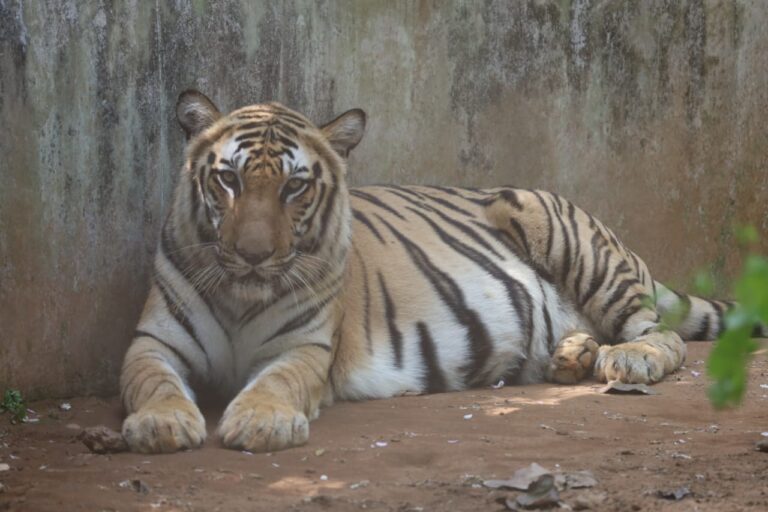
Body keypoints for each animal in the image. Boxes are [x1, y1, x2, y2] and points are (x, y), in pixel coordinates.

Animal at [120, 89, 748, 454]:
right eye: (228, 180)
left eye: (294, 187)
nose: (252, 255)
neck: (241, 295)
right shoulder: (153, 340)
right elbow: (151, 381)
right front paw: (160, 425)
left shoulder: (305, 347)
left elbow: (277, 381)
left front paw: (260, 422)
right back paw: (573, 355)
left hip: (560, 230)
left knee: (662, 334)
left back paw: (626, 358)